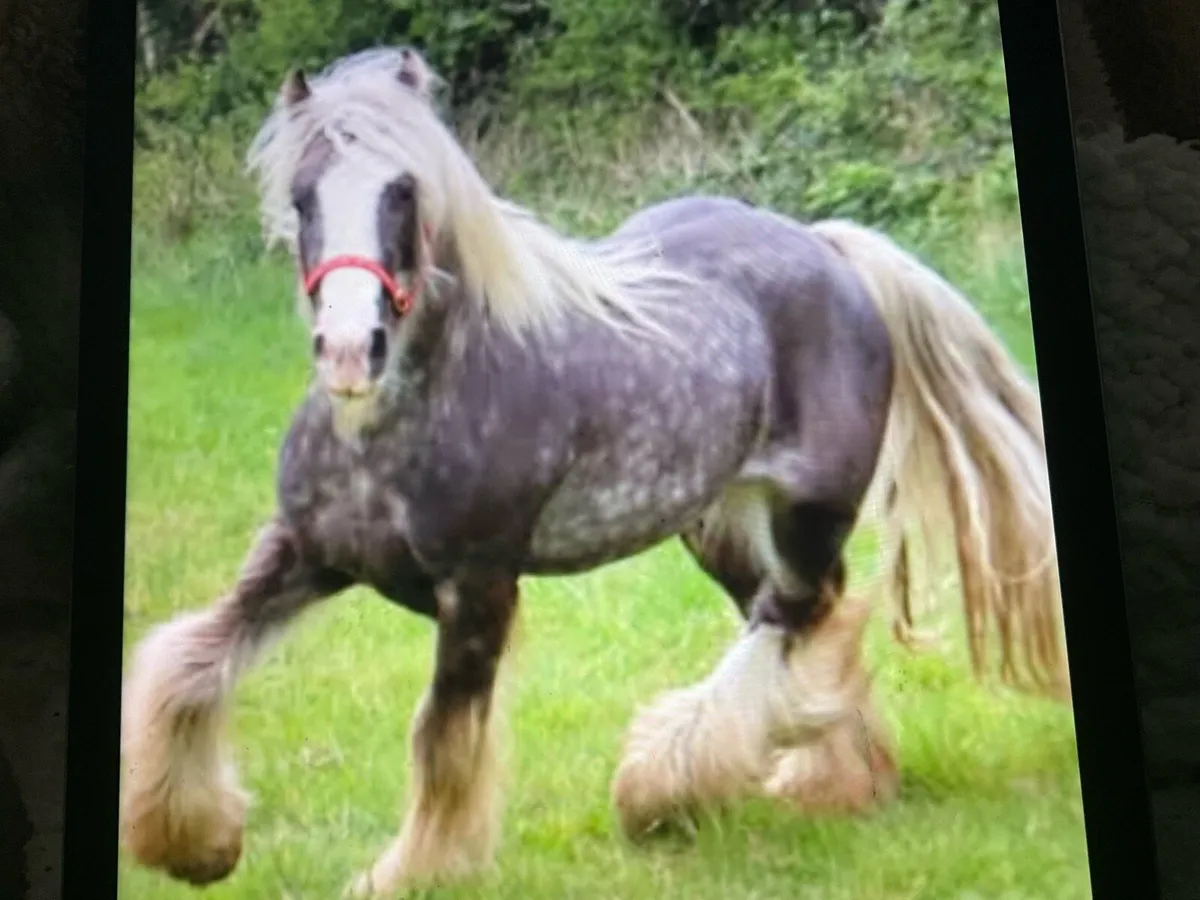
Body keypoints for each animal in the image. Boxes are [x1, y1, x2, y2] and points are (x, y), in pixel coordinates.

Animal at [119, 46, 1069, 896]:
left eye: (404, 192)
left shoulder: (478, 588)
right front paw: (193, 844)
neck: (397, 425)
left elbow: (443, 741)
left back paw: (665, 787)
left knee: (794, 622)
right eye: (302, 194)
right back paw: (835, 782)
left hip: (807, 514)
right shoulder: (303, 552)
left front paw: (410, 873)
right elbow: (185, 665)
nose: (352, 351)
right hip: (719, 526)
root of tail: (829, 250)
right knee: (810, 626)